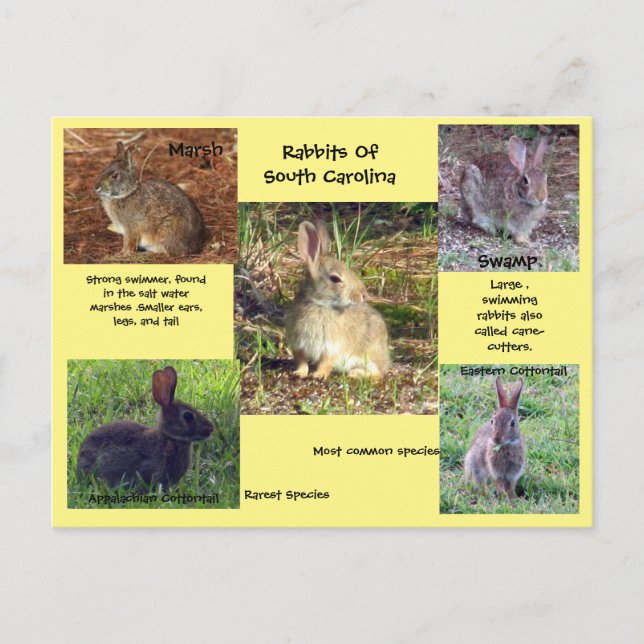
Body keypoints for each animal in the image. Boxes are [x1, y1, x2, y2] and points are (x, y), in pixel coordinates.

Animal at [284, 220, 389, 380]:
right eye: (335, 279)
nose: (363, 294)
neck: (319, 304)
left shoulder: (331, 347)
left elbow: (326, 362)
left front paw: (319, 375)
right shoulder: (298, 345)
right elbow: (301, 361)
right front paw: (299, 373)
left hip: (369, 356)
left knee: (377, 374)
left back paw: (355, 373)